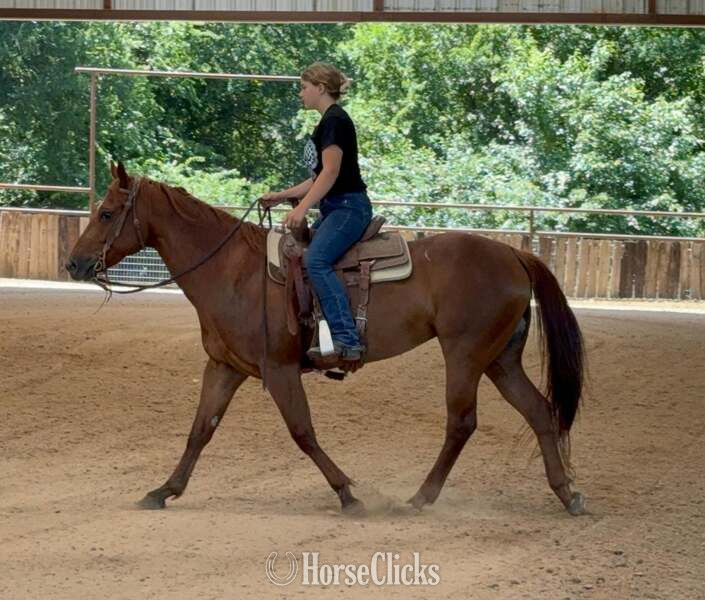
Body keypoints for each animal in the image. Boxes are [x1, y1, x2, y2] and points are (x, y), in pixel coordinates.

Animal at [66, 162, 586, 516]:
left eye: (107, 213)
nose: (73, 263)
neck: (233, 272)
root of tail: (515, 256)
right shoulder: (226, 367)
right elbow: (200, 430)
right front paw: (163, 490)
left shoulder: (278, 371)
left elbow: (303, 432)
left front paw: (347, 493)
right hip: (500, 359)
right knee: (540, 412)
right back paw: (567, 494)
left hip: (464, 355)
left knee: (462, 423)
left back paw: (420, 498)